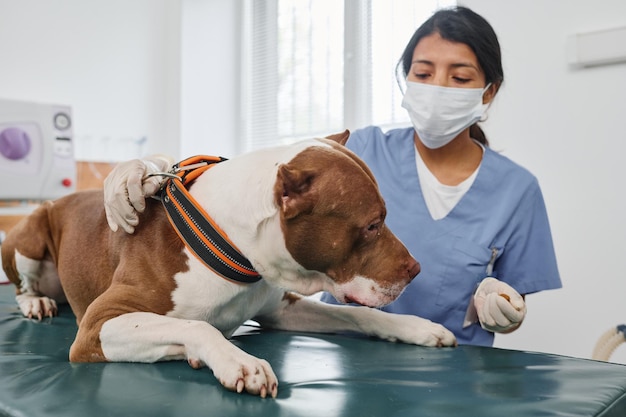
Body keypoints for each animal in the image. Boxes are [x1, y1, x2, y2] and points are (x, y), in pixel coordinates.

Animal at [0, 131, 454, 396]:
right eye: (373, 224)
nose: (415, 269)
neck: (230, 242)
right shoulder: (98, 325)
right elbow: (197, 325)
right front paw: (240, 361)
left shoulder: (280, 309)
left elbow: (359, 315)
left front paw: (416, 327)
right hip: (33, 232)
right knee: (22, 282)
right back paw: (36, 302)